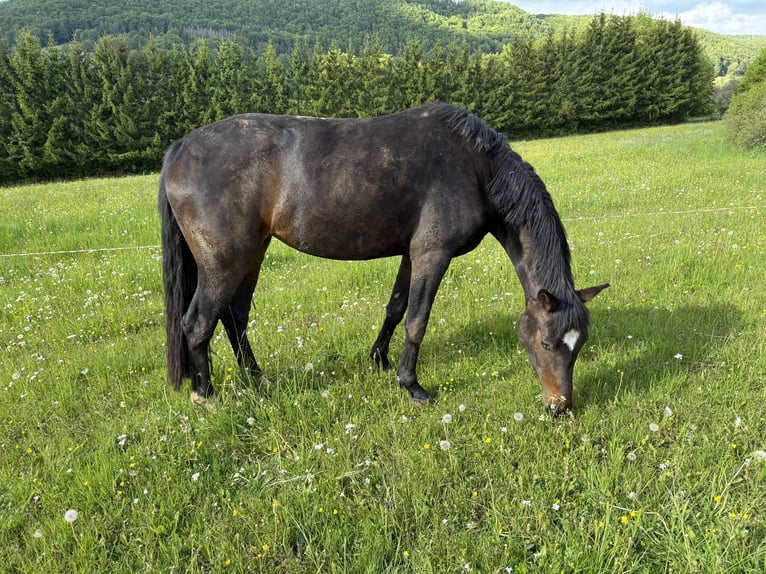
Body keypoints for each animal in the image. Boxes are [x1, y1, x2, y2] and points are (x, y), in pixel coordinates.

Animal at [158, 103, 608, 414]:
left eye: (581, 342)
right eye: (547, 343)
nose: (559, 406)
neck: (475, 166)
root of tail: (180, 148)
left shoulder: (412, 253)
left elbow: (395, 308)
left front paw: (378, 360)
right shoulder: (433, 253)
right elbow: (417, 320)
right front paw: (412, 386)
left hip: (252, 253)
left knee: (234, 317)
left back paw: (257, 380)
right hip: (224, 262)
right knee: (197, 323)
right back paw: (206, 395)